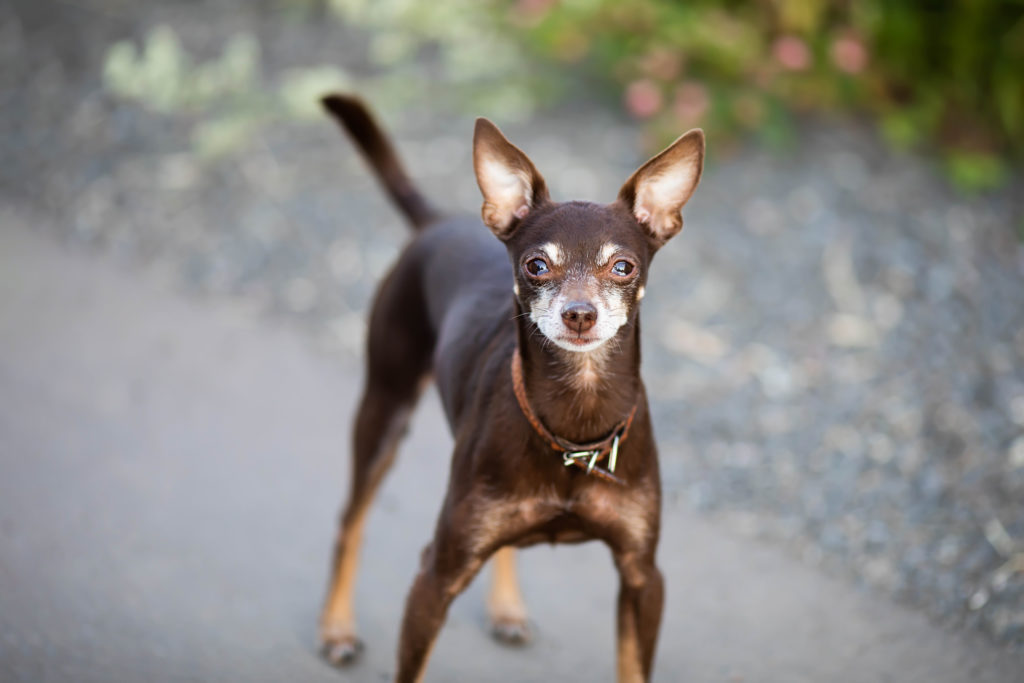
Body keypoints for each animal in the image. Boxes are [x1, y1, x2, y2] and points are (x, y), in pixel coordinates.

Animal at [319, 92, 704, 683]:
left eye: (623, 267)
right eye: (536, 264)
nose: (579, 314)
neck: (576, 423)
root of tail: (436, 222)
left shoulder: (643, 577)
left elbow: (632, 666)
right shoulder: (436, 575)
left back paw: (505, 608)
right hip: (384, 406)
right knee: (350, 521)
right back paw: (336, 628)